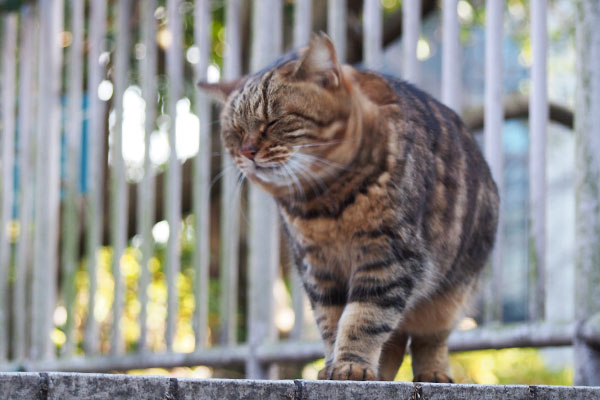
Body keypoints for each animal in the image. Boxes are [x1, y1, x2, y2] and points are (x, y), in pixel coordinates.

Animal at [199, 32, 500, 382]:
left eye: (274, 122)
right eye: (234, 133)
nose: (247, 151)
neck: (324, 204)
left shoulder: (389, 257)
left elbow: (364, 318)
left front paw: (351, 364)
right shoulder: (318, 269)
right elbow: (333, 321)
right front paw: (336, 364)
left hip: (449, 294)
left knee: (429, 338)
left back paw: (433, 374)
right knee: (396, 340)